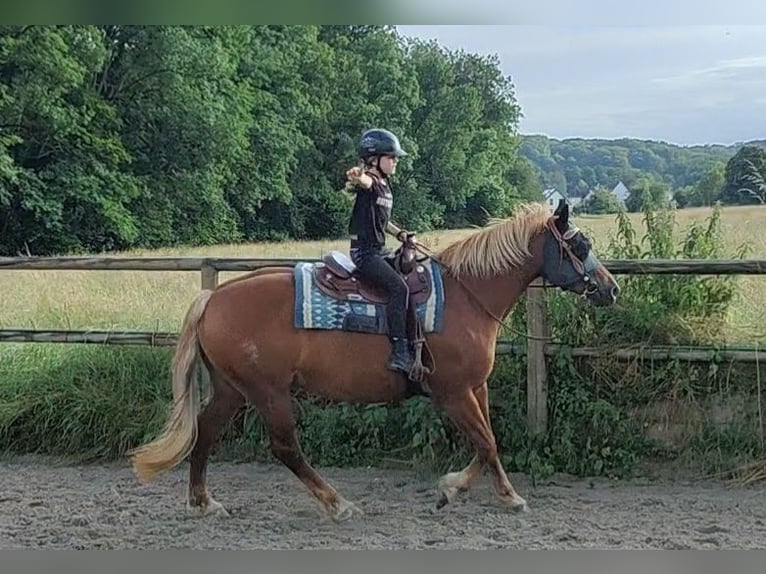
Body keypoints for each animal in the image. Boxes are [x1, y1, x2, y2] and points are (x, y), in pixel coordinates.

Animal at [127, 201, 616, 520]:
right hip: (268, 393)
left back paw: (204, 502)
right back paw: (337, 504)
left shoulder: (475, 388)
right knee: (285, 447)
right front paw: (471, 492)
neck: (466, 297)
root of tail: (213, 297)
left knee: (206, 432)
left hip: (233, 389)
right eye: (580, 244)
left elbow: (488, 443)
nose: (610, 289)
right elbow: (487, 443)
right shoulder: (454, 392)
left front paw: (481, 493)